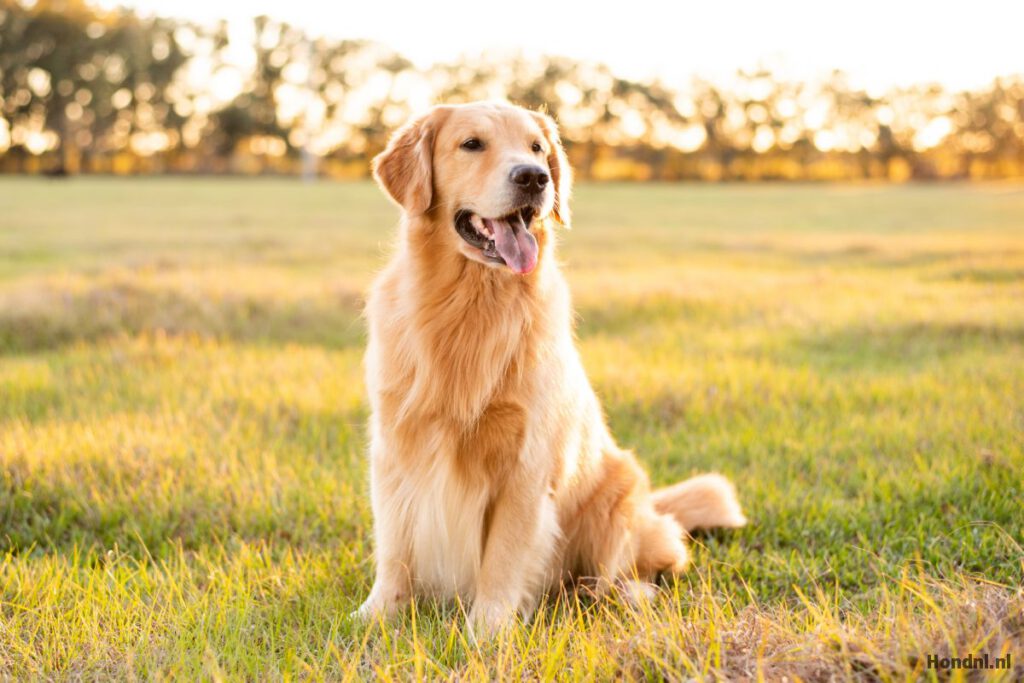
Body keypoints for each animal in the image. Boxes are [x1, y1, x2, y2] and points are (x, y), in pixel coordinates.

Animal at [358, 100, 745, 634]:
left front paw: (488, 631)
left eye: (537, 148)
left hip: (619, 494)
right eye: (471, 144)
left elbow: (502, 556)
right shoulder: (396, 448)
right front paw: (376, 615)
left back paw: (622, 593)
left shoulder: (526, 463)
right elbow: (395, 546)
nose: (533, 178)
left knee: (645, 563)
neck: (470, 304)